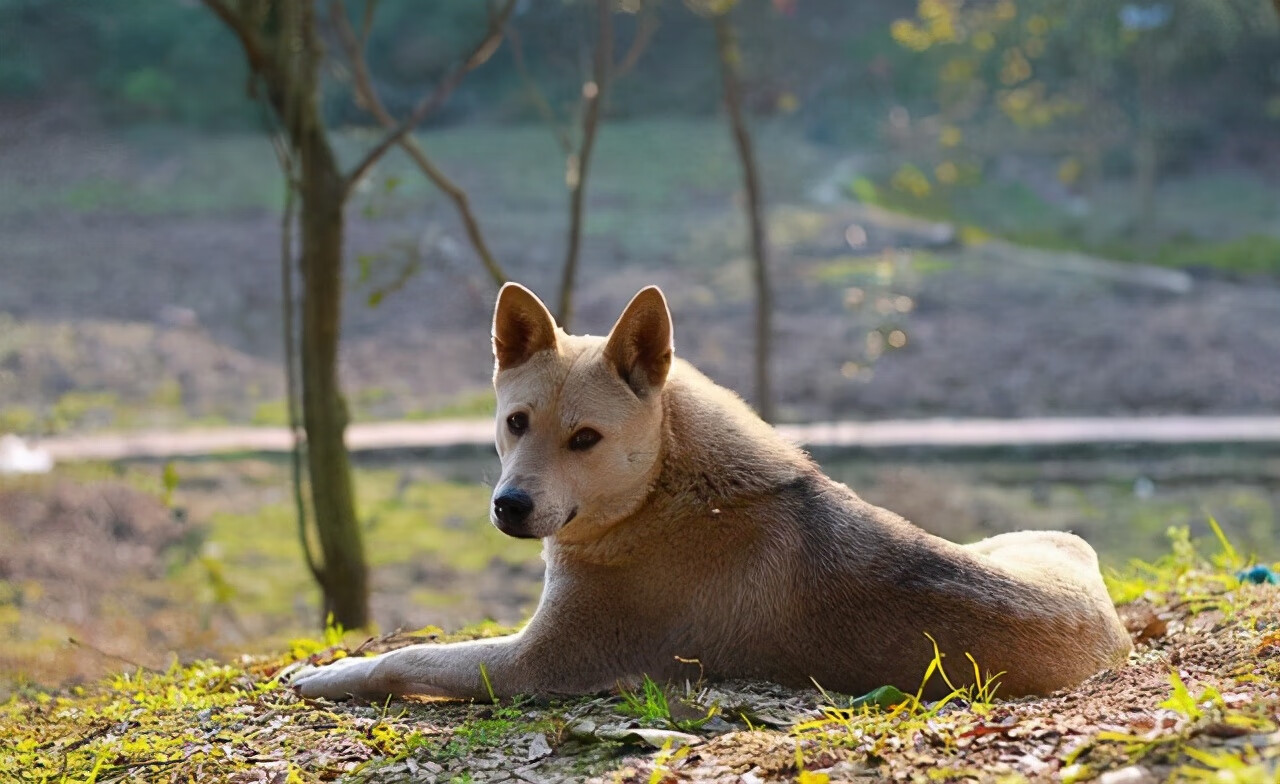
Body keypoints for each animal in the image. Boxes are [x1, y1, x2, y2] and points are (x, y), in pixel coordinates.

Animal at [290, 284, 1131, 702]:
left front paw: (320, 677)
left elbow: (404, 659)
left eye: (585, 439)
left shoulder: (535, 664)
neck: (664, 492)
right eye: (515, 422)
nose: (510, 506)